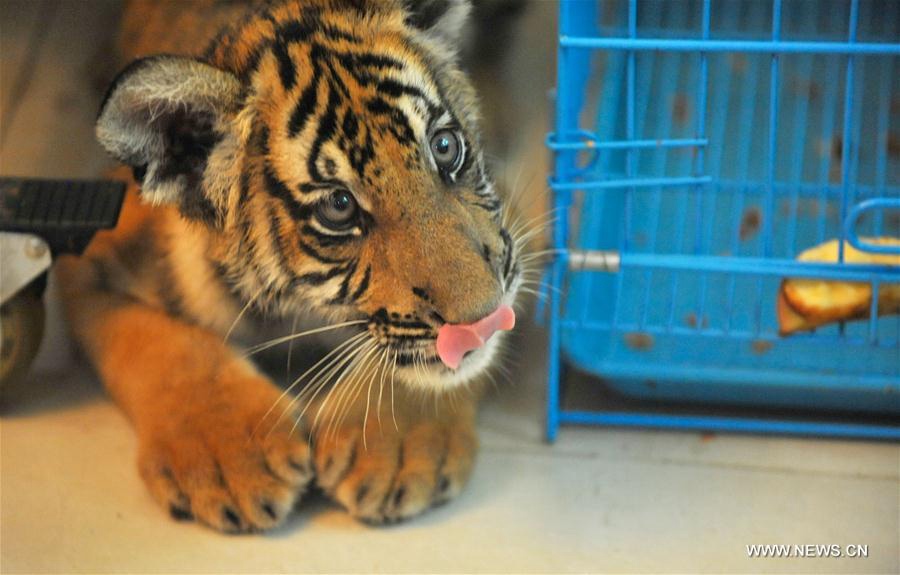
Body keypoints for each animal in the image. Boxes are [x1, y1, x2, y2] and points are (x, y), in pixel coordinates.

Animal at [58, 0, 527, 533]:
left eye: (445, 147)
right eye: (339, 206)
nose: (482, 318)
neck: (301, 313)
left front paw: (392, 448)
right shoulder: (86, 254)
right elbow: (163, 347)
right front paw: (230, 458)